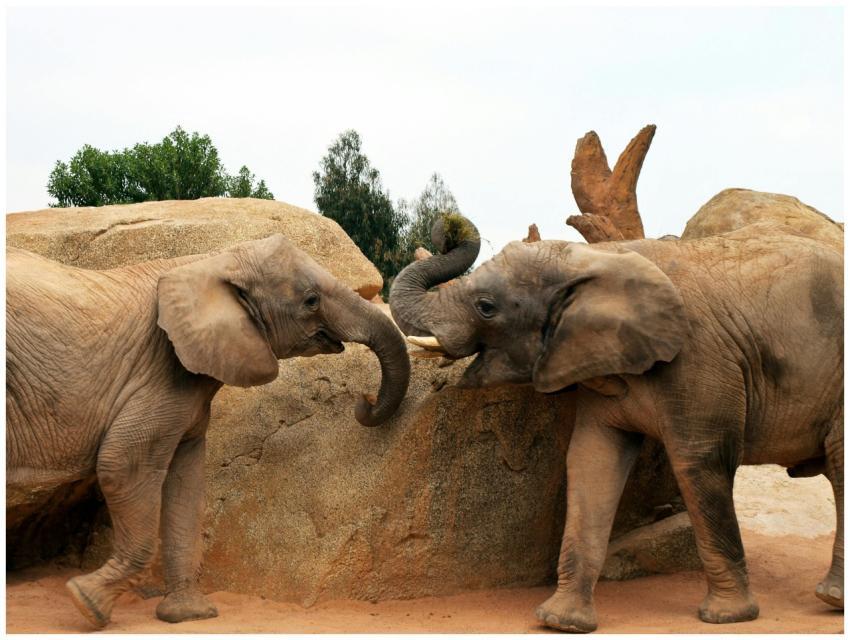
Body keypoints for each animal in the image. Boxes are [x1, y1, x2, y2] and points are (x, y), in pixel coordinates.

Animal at [6, 234, 410, 628]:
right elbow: (123, 464)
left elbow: (186, 482)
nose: (364, 400)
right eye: (311, 301)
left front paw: (188, 615)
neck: (212, 261)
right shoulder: (161, 369)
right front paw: (87, 604)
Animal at [389, 214, 843, 632]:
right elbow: (592, 461)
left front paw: (727, 617)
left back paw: (831, 599)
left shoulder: (700, 360)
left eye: (486, 307)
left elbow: (699, 463)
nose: (445, 228)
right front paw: (561, 621)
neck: (596, 257)